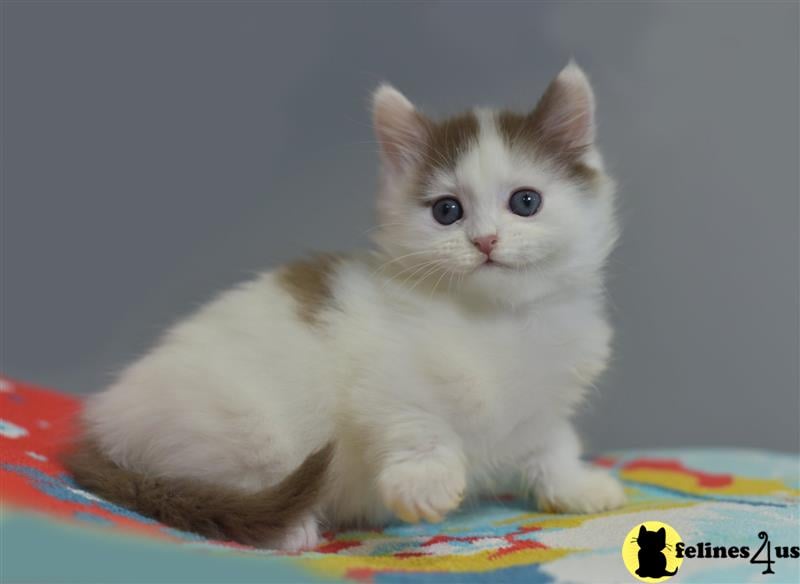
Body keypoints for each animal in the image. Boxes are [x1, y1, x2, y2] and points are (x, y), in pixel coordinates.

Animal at [67, 61, 624, 548]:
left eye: (525, 202)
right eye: (448, 211)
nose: (485, 241)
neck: (495, 316)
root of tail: (105, 423)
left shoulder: (546, 401)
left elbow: (553, 443)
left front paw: (577, 486)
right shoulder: (385, 377)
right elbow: (417, 422)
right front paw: (425, 482)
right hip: (239, 424)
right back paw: (288, 529)